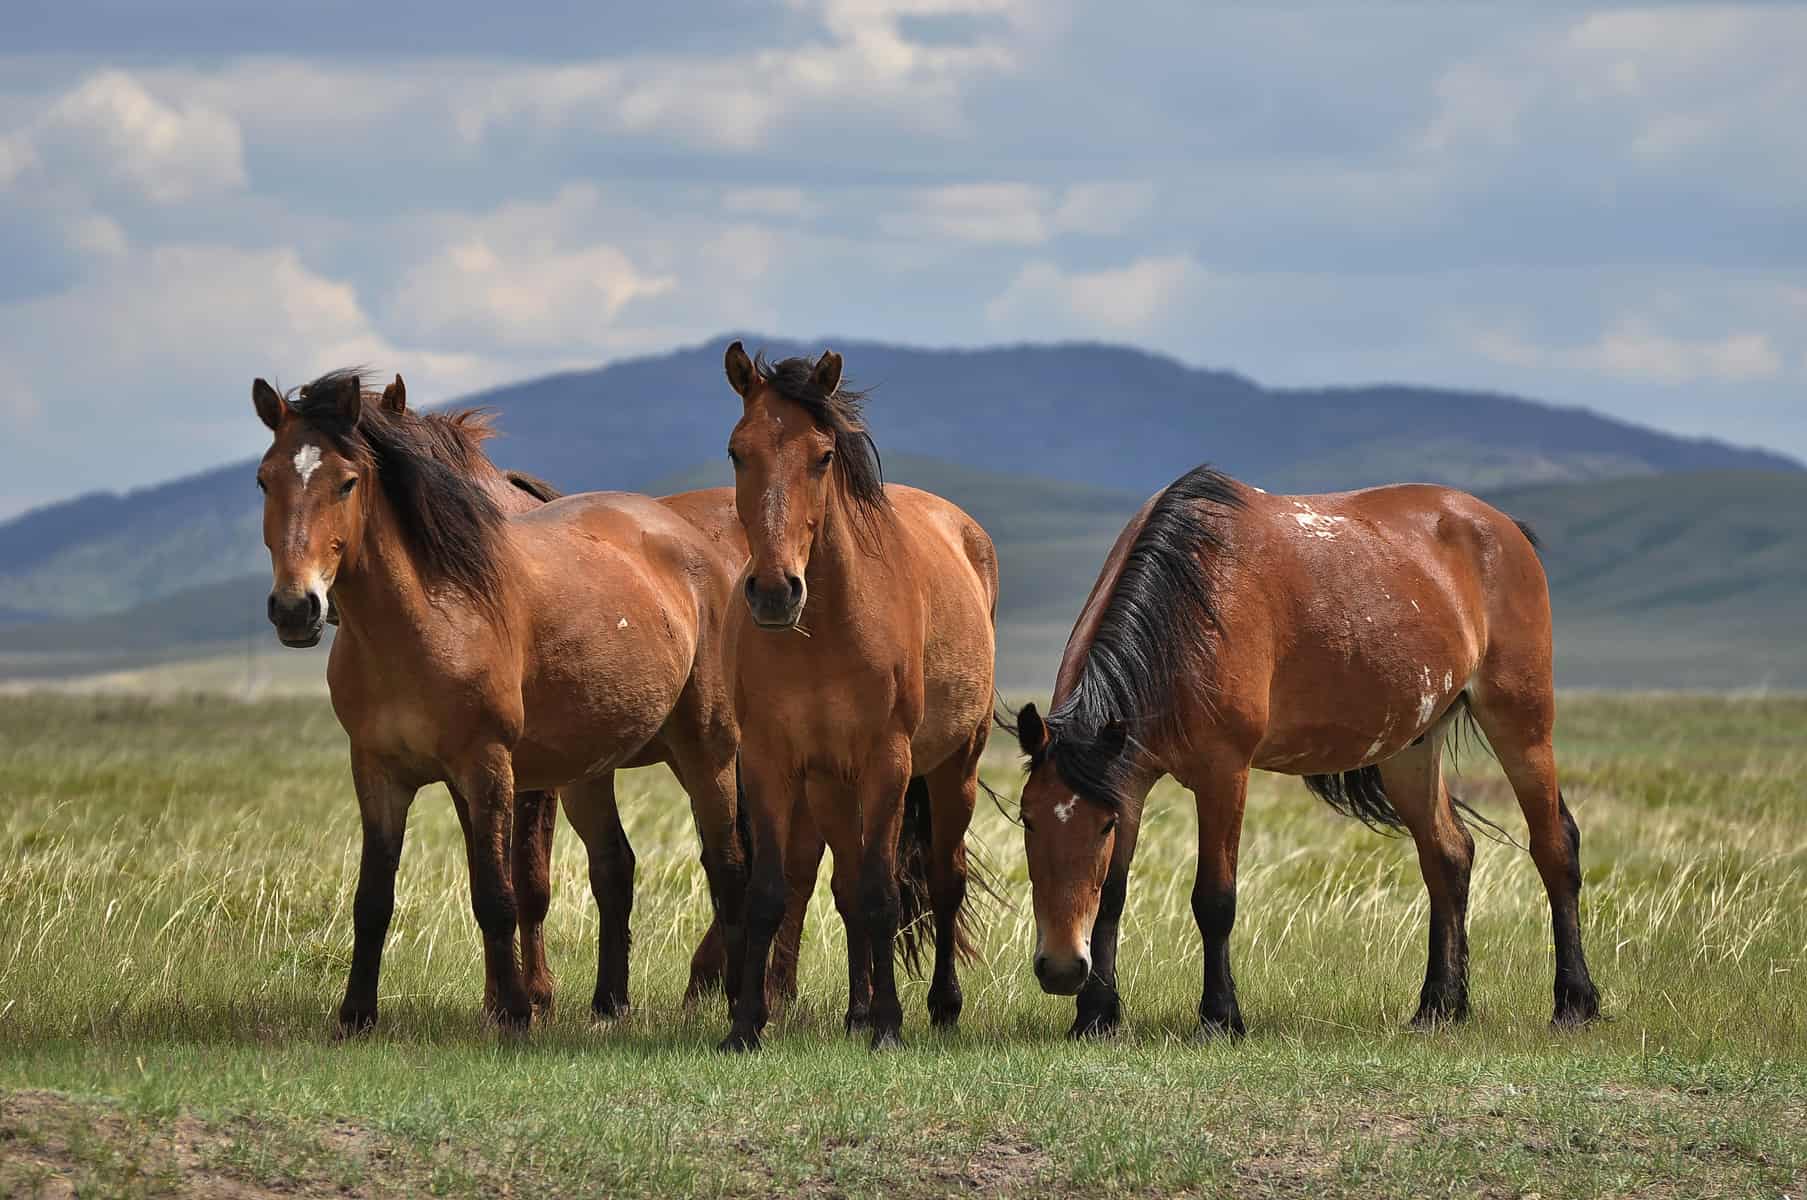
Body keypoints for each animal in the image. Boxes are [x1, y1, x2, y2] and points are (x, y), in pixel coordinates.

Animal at [249, 368, 748, 1033]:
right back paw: (609, 1003)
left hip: (707, 752)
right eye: (265, 479)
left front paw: (515, 1008)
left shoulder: (487, 768)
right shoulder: (379, 773)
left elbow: (501, 892)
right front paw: (356, 1015)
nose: (295, 608)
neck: (425, 619)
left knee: (729, 867)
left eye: (346, 482)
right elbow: (373, 898)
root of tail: (698, 547)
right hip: (589, 771)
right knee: (615, 868)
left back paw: (734, 997)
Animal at [719, 339, 1004, 1048]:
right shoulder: (769, 761)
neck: (825, 629)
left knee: (944, 880)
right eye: (737, 452)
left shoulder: (887, 762)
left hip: (954, 767)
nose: (774, 592)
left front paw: (890, 1026)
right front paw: (746, 1025)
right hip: (829, 785)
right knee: (846, 886)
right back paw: (855, 1011)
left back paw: (940, 1006)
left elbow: (883, 891)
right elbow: (774, 892)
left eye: (823, 456)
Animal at [1011, 466, 1604, 1040]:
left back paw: (1574, 1002)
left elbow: (1214, 899)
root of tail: (1502, 528)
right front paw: (1096, 1017)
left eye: (1102, 826)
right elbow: (1110, 896)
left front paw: (1220, 1018)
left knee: (1555, 847)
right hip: (1411, 747)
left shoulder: (1224, 772)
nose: (1061, 968)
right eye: (1028, 820)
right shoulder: (1128, 782)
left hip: (1521, 724)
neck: (1187, 608)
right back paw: (1439, 1007)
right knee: (1448, 856)